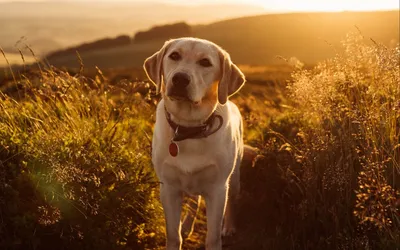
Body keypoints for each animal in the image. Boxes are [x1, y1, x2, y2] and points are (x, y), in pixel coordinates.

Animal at [144, 37, 244, 250]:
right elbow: (173, 235)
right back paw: (187, 225)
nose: (180, 79)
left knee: (232, 202)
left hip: (234, 178)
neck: (189, 128)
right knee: (194, 202)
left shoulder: (217, 189)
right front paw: (180, 233)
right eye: (174, 55)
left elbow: (213, 237)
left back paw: (229, 226)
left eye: (205, 62)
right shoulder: (169, 188)